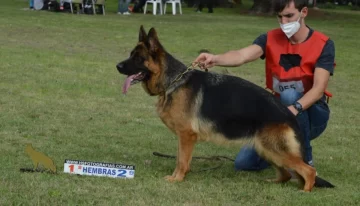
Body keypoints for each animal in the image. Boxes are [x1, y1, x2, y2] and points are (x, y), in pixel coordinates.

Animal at [116, 25, 334, 192]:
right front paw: (179, 177)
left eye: (137, 58)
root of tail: (289, 114)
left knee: (308, 171)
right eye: (131, 55)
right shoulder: (183, 137)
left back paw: (305, 191)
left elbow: (181, 160)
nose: (117, 66)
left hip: (274, 149)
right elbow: (180, 158)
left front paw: (177, 179)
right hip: (266, 149)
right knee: (286, 173)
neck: (173, 81)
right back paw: (274, 181)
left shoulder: (186, 135)